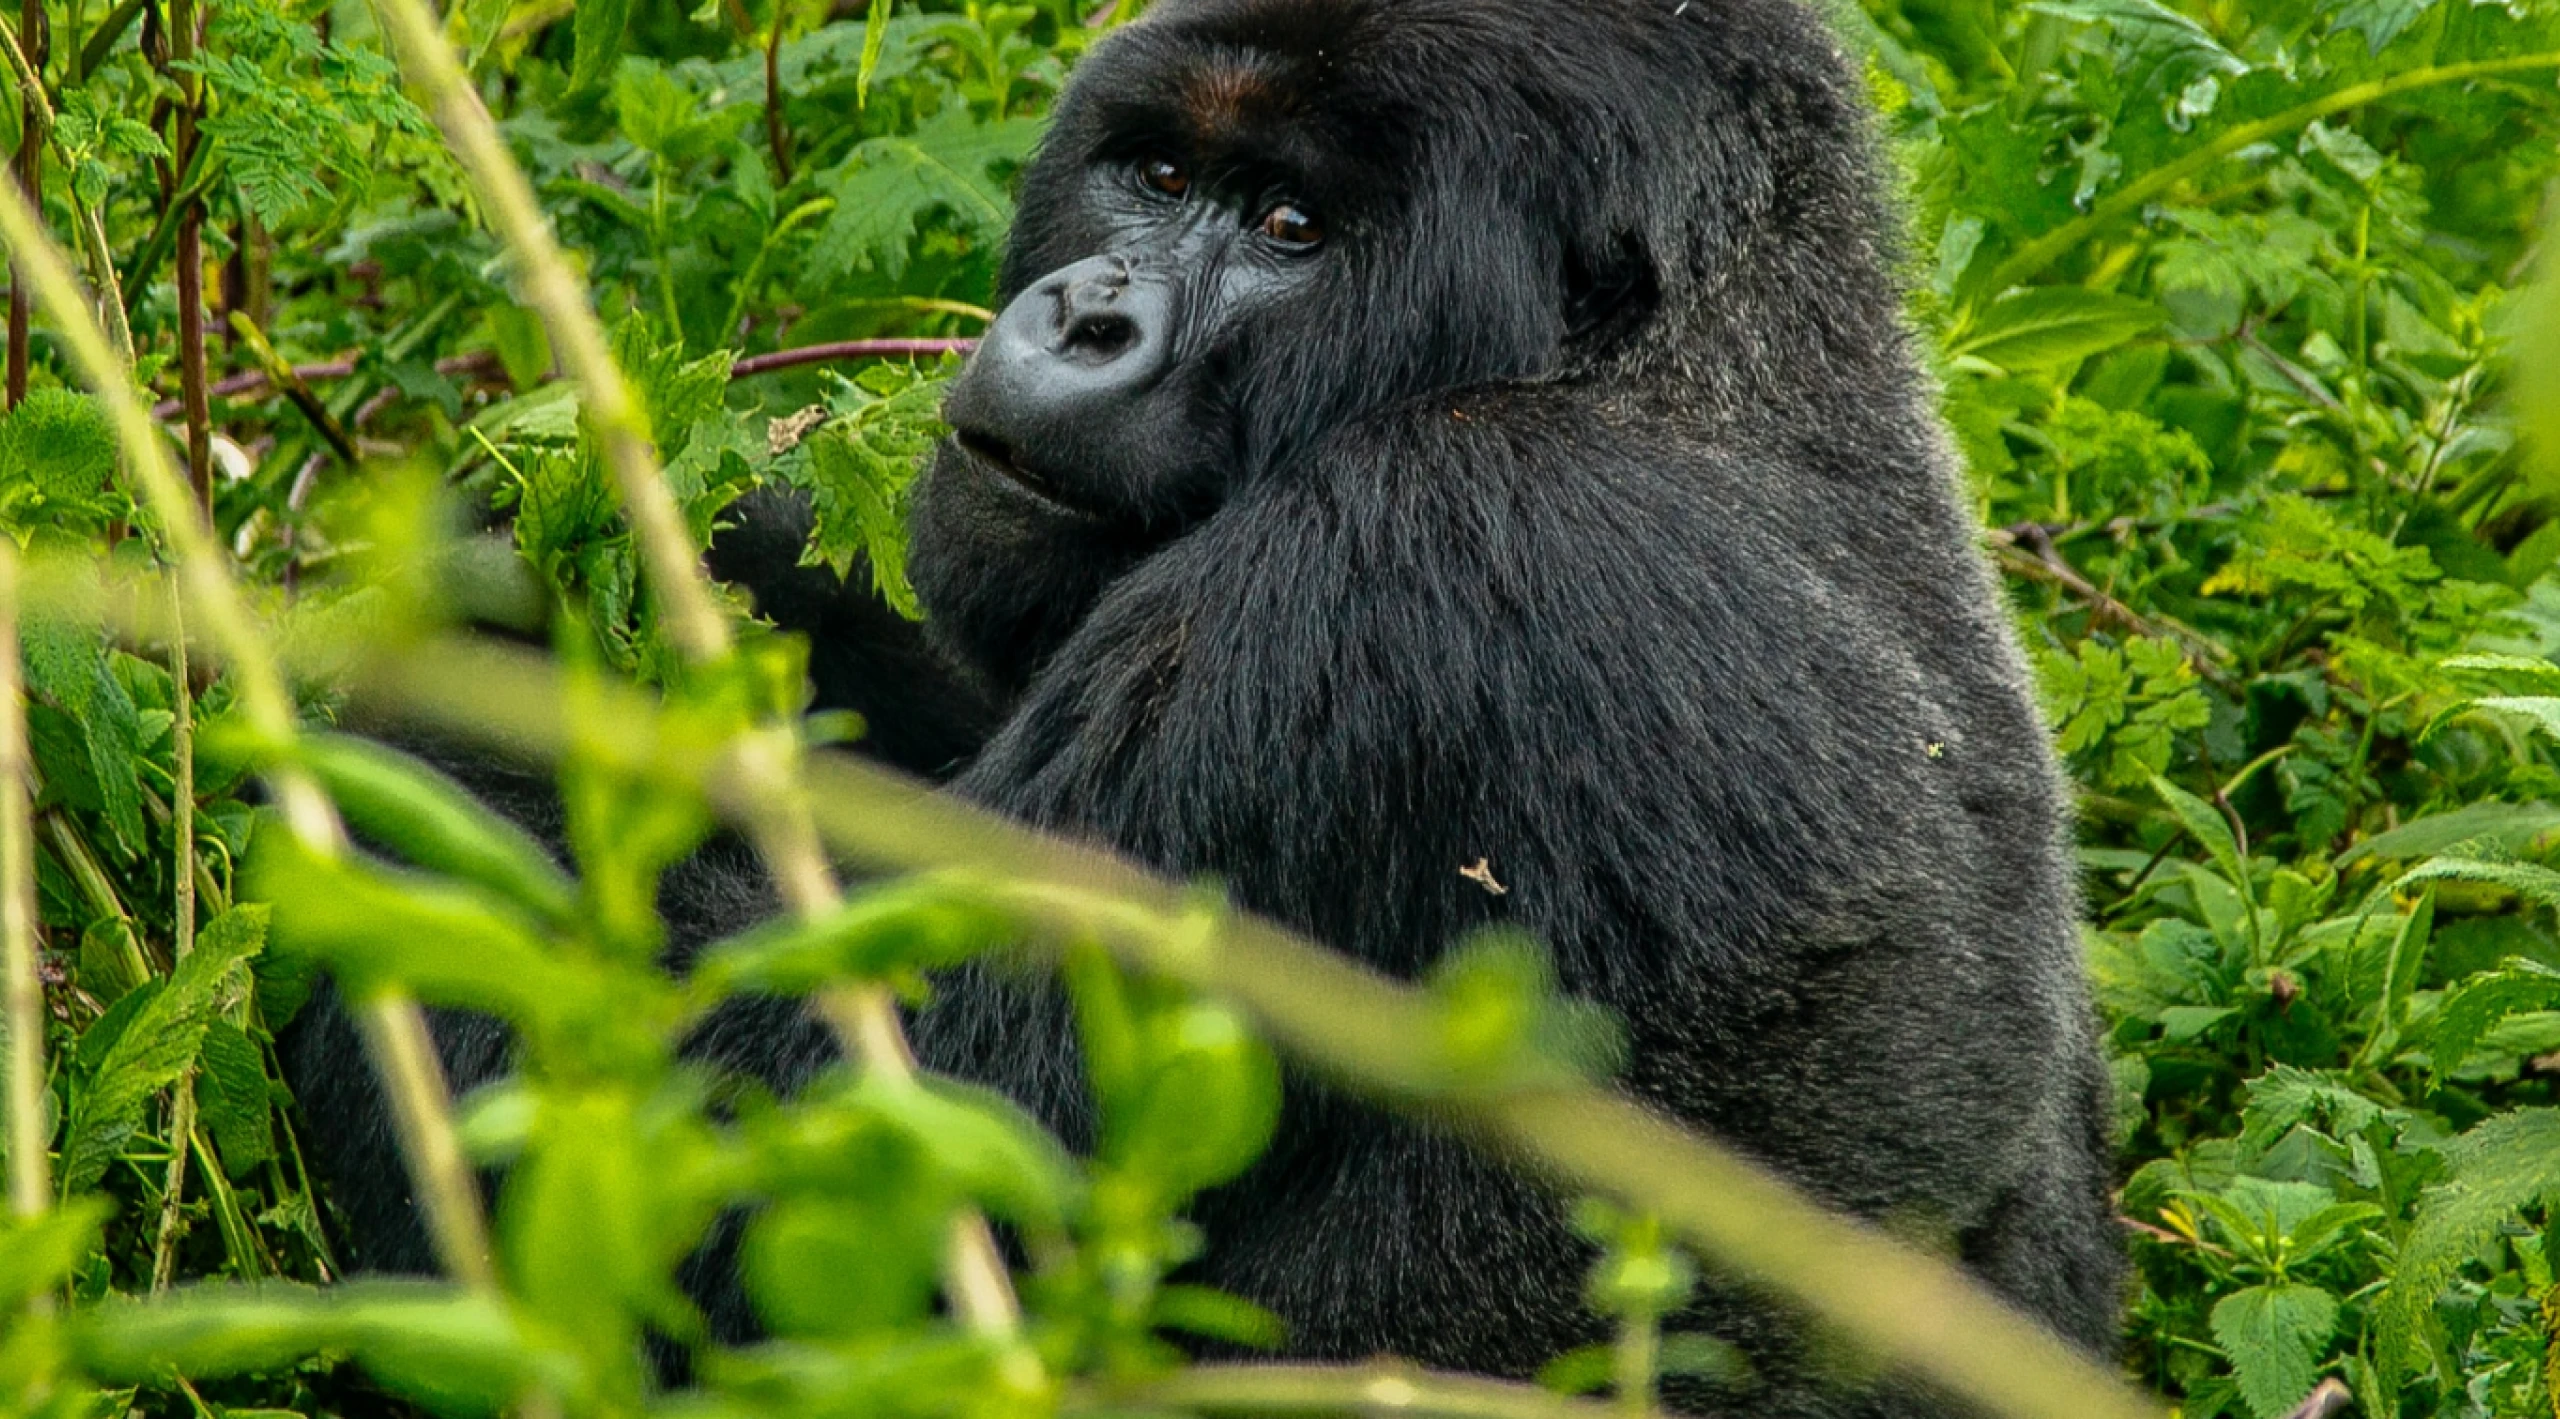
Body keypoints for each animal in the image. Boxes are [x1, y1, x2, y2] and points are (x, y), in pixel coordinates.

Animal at [285, 0, 2119, 1403]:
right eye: (1158, 172)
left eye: (1292, 231)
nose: (1087, 318)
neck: (1688, 359)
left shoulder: (1411, 563)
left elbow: (776, 1202)